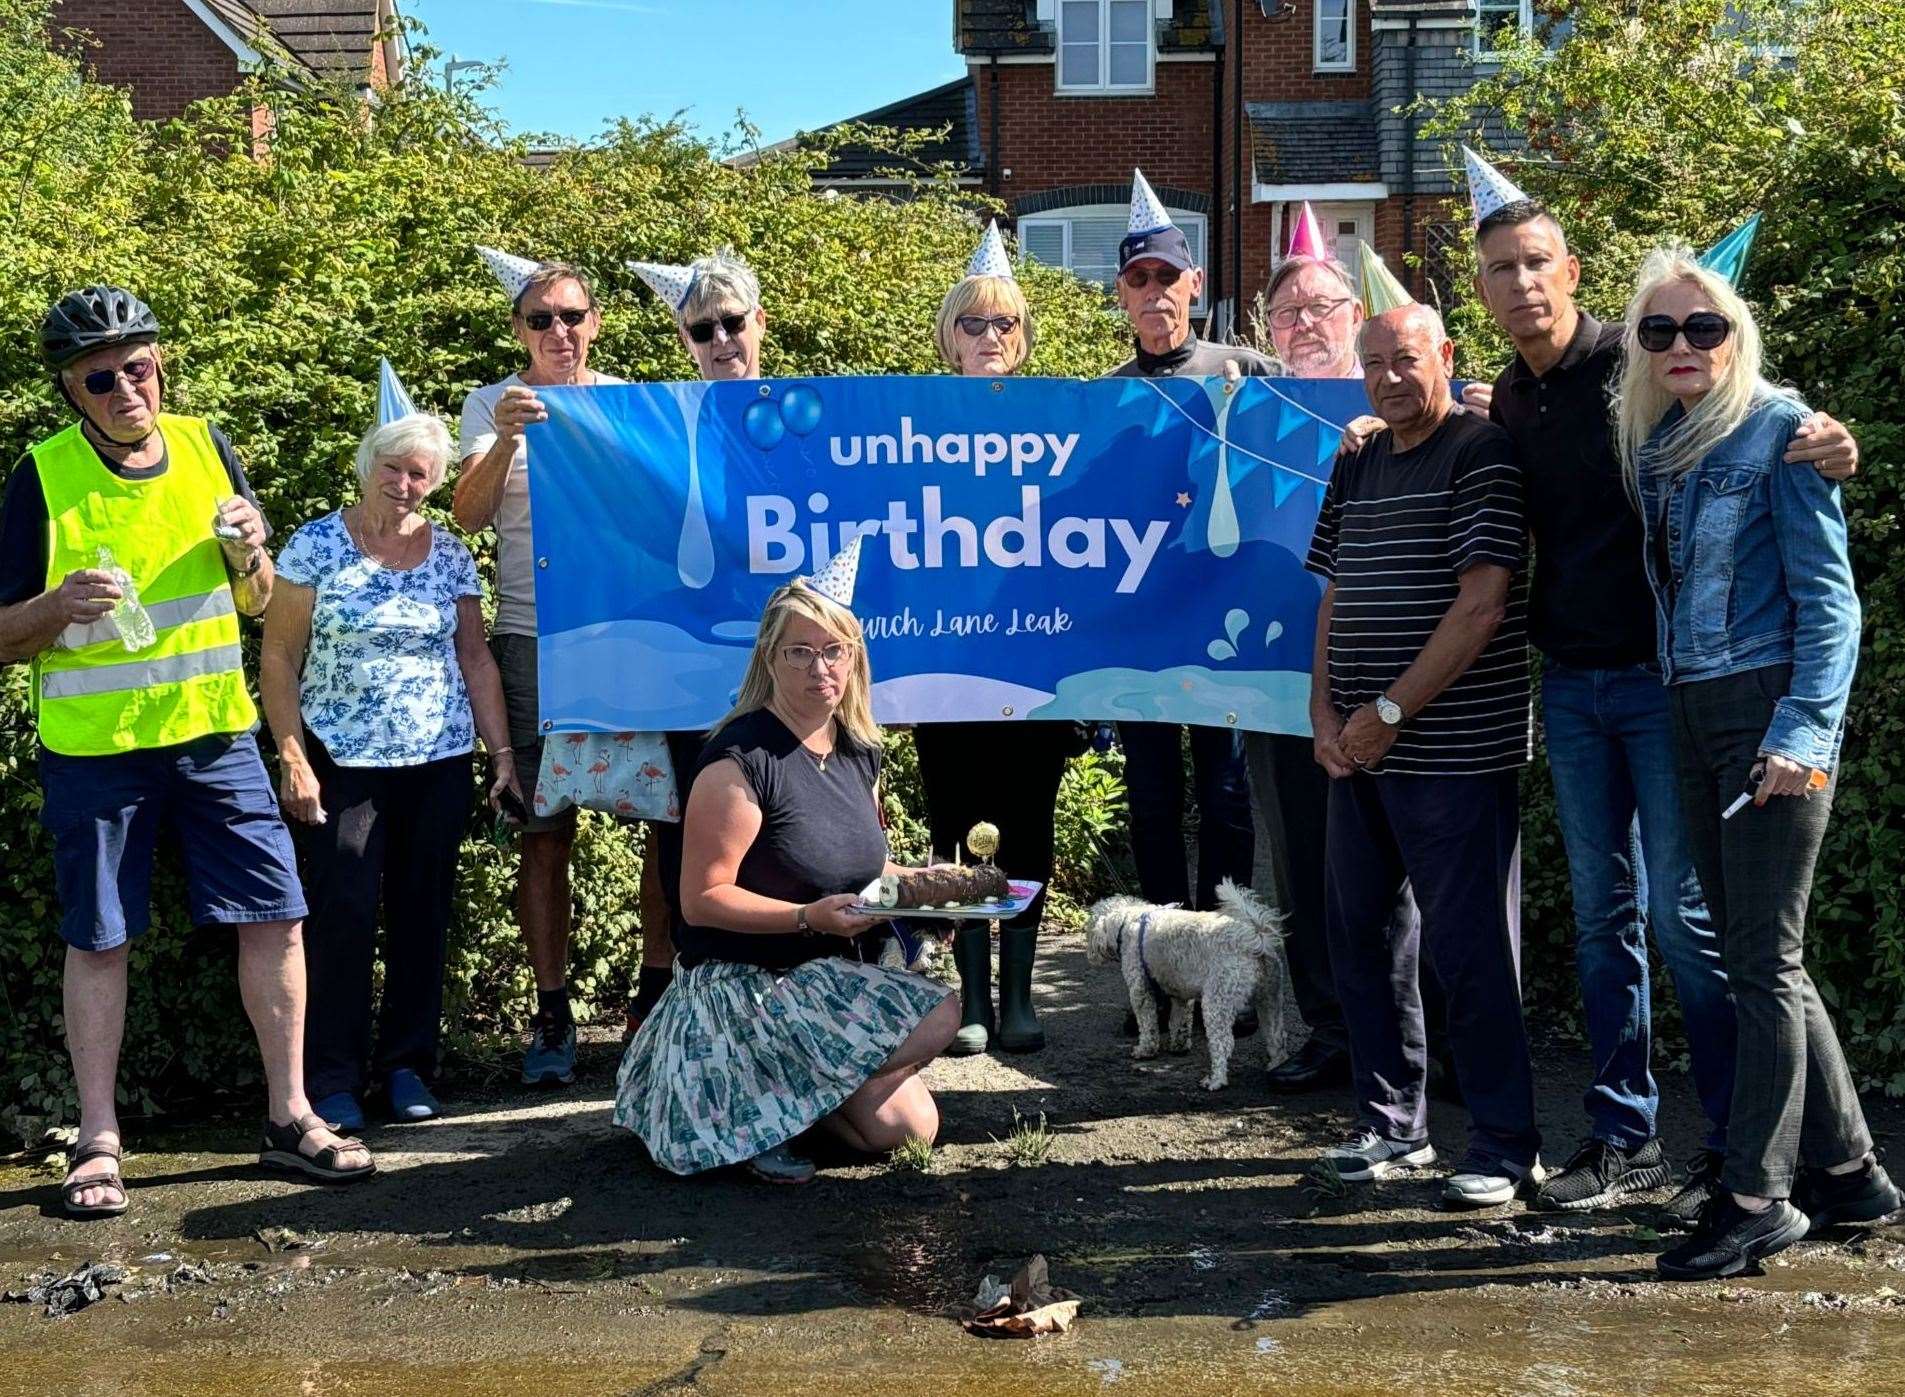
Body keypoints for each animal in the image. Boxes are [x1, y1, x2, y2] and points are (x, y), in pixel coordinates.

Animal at [1089, 872, 1310, 1090]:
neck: (1130, 920)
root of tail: (1255, 937)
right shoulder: (1180, 994)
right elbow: (1179, 1021)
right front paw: (1178, 1046)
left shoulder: (1140, 989)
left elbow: (1147, 1024)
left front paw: (1145, 1050)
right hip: (1270, 998)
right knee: (1277, 1036)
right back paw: (1276, 1065)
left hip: (1217, 1001)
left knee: (1223, 1044)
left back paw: (1215, 1080)